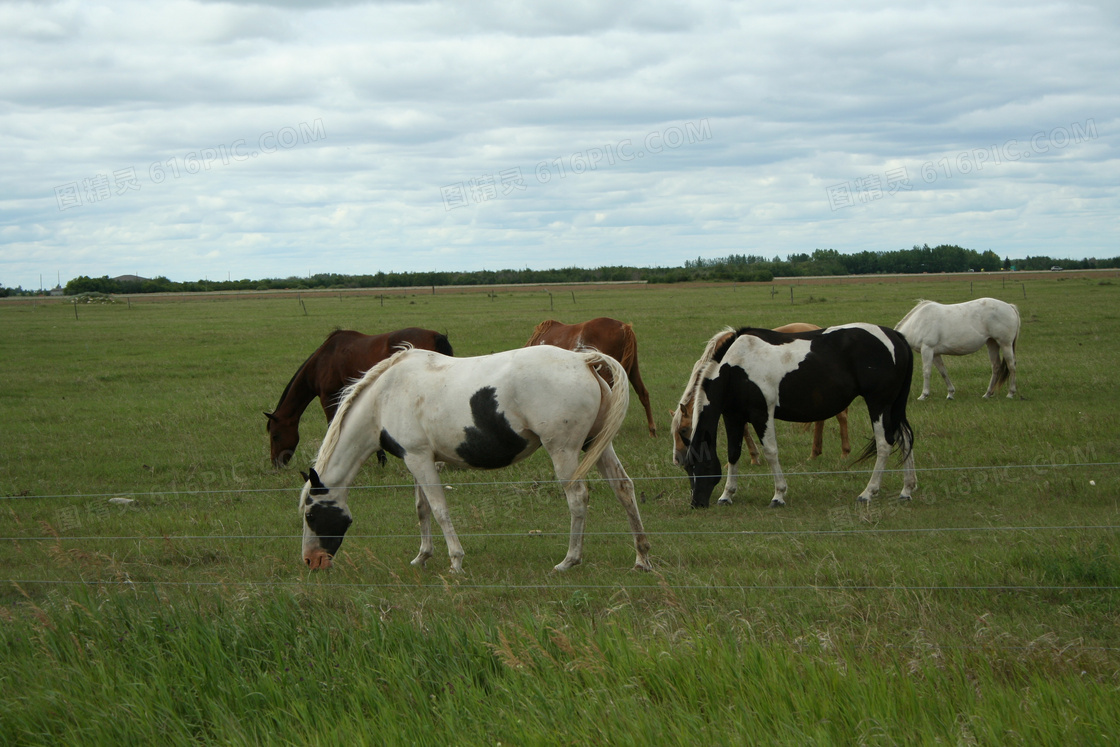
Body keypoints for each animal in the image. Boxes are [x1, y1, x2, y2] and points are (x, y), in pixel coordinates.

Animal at [264, 327, 452, 468]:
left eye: (275, 436)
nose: (276, 464)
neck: (322, 361)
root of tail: (436, 335)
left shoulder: (329, 397)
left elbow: (332, 424)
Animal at [297, 344, 654, 573]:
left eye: (311, 515)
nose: (311, 561)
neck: (384, 398)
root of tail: (583, 361)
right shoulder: (419, 461)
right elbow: (422, 509)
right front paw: (422, 557)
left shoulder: (420, 460)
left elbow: (439, 509)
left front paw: (455, 560)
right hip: (598, 446)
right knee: (624, 489)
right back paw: (641, 558)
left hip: (563, 451)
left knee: (577, 498)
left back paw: (569, 560)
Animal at [667, 324, 913, 508]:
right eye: (688, 469)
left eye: (700, 466)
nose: (696, 503)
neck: (736, 365)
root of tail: (895, 336)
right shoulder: (733, 417)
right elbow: (733, 453)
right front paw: (727, 495)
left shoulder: (761, 414)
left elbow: (770, 452)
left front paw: (779, 495)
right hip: (893, 407)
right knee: (905, 440)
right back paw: (907, 490)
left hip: (879, 405)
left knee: (884, 444)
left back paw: (868, 492)